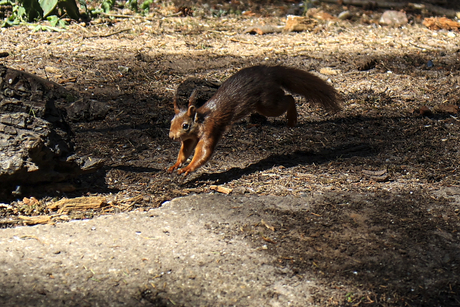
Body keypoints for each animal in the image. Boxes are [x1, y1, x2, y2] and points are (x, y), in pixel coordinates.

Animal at [167, 65, 340, 176]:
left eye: (185, 125)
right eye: (171, 122)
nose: (171, 137)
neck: (201, 120)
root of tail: (269, 72)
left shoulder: (211, 128)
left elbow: (203, 152)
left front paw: (188, 168)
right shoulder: (189, 139)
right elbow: (185, 151)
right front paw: (176, 164)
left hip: (267, 103)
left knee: (289, 98)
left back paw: (292, 119)